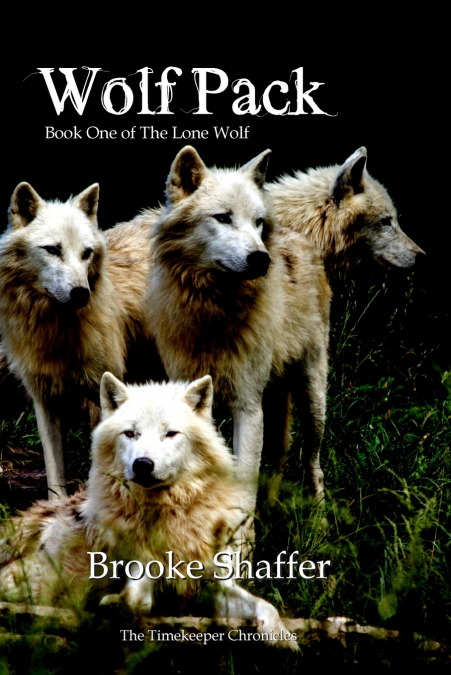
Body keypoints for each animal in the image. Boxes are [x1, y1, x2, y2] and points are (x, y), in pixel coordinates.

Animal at [0, 183, 155, 499]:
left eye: (86, 253)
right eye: (52, 250)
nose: (81, 293)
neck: (57, 331)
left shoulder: (101, 395)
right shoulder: (45, 401)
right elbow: (54, 472)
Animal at [0, 374, 297, 649]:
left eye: (171, 433)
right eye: (130, 433)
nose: (143, 464)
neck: (171, 517)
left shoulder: (215, 586)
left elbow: (265, 605)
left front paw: (281, 636)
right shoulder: (139, 567)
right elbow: (139, 598)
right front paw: (117, 605)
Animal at [144, 146, 331, 511]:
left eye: (257, 223)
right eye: (223, 218)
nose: (261, 259)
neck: (212, 312)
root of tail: (297, 237)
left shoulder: (248, 406)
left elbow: (244, 486)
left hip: (312, 398)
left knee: (312, 461)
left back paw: (319, 515)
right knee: (279, 457)